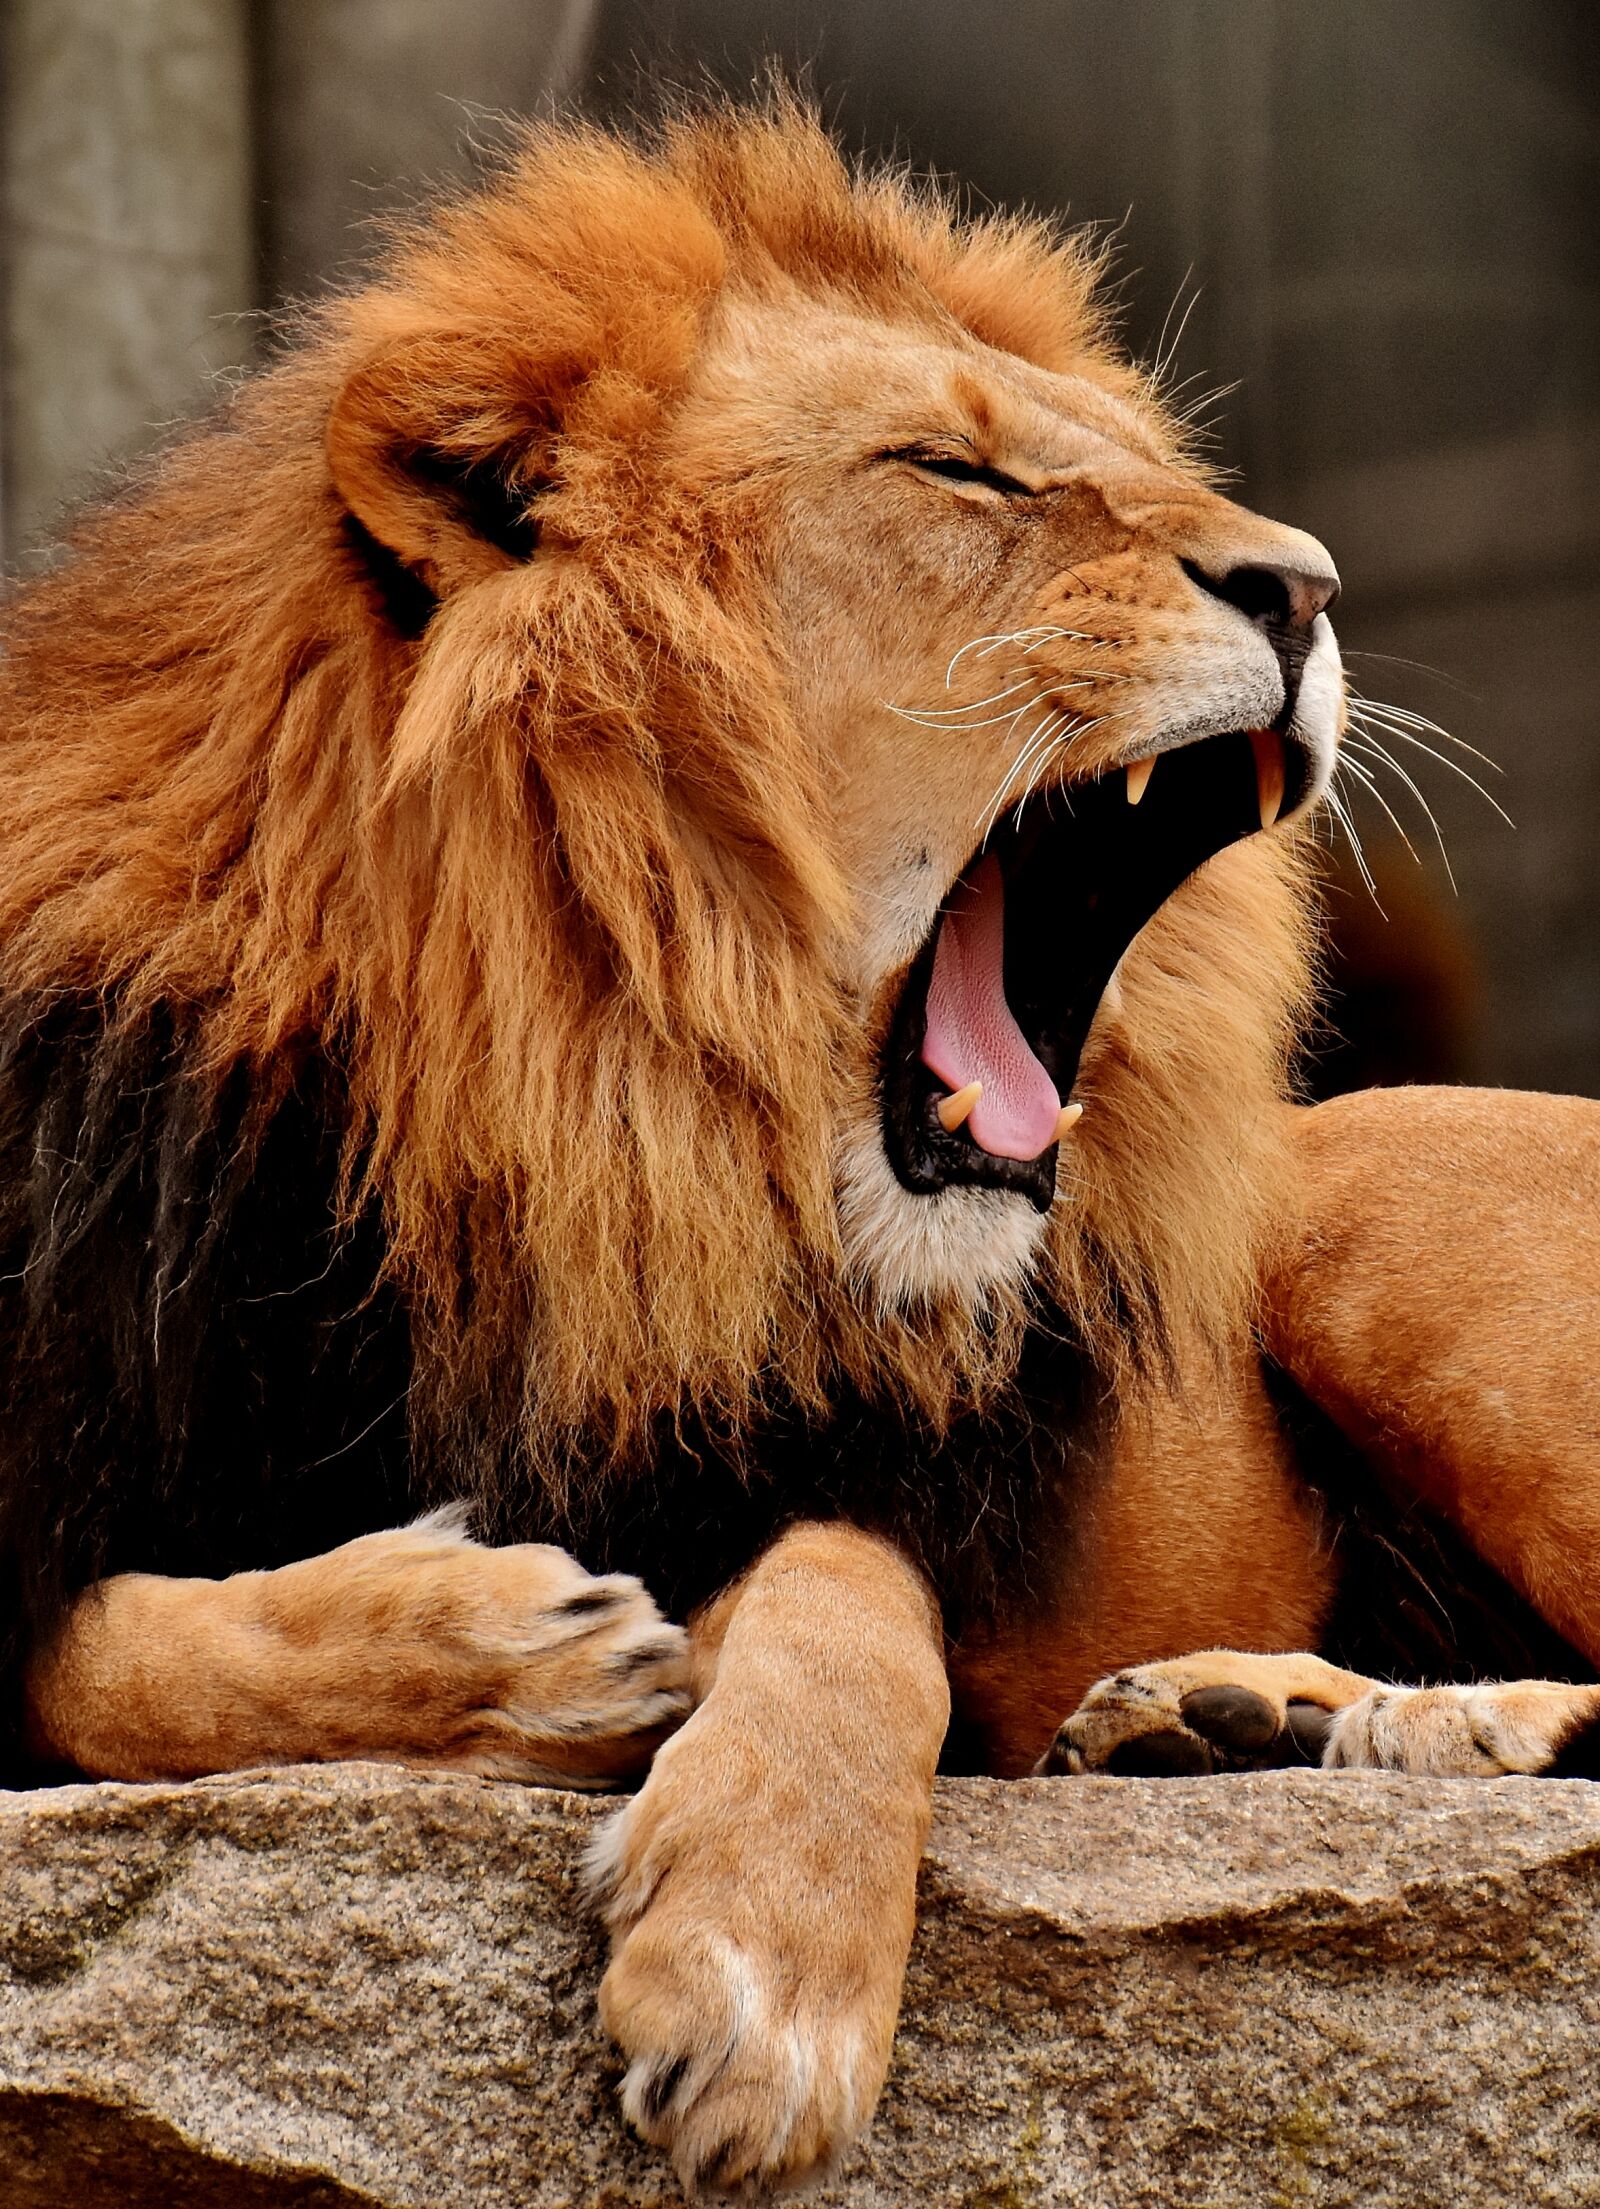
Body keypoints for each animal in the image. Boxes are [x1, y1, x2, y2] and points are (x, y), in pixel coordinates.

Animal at [3, 96, 1598, 2198]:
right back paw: (1242, 1714)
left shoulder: (883, 1480)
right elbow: (96, 1654)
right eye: (959, 470)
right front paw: (506, 1642)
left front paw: (762, 1958)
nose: (1313, 586)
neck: (561, 1122)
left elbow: (847, 1584)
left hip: (1381, 1207)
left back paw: (1443, 1732)